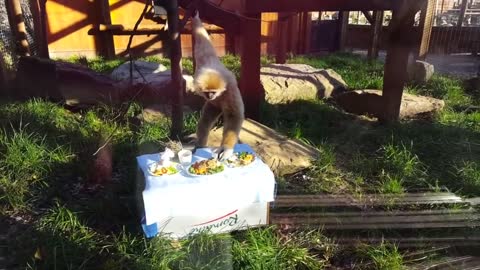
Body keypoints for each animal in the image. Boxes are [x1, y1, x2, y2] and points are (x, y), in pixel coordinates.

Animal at [190, 12, 244, 160]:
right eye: (207, 92)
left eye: (213, 91)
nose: (210, 96)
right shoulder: (203, 59)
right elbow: (201, 38)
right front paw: (196, 19)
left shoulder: (230, 89)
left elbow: (234, 115)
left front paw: (226, 149)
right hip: (214, 105)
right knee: (205, 121)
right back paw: (200, 145)